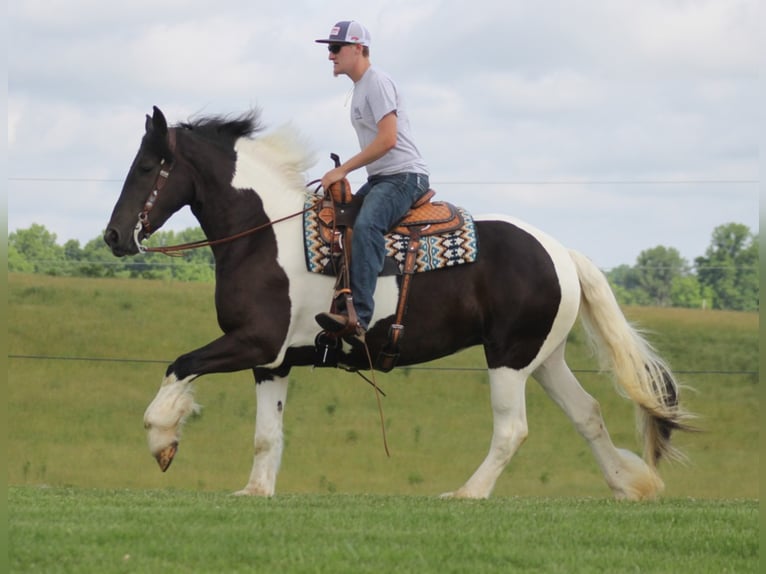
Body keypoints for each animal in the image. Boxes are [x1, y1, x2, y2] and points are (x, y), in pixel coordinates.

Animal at [103, 107, 696, 500]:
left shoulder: (253, 342)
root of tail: (562, 253)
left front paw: (162, 440)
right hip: (543, 357)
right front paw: (255, 492)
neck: (262, 234)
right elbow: (266, 435)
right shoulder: (272, 362)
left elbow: (180, 366)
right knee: (588, 414)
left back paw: (467, 494)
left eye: (148, 166)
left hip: (508, 357)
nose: (113, 236)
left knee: (512, 429)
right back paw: (629, 485)